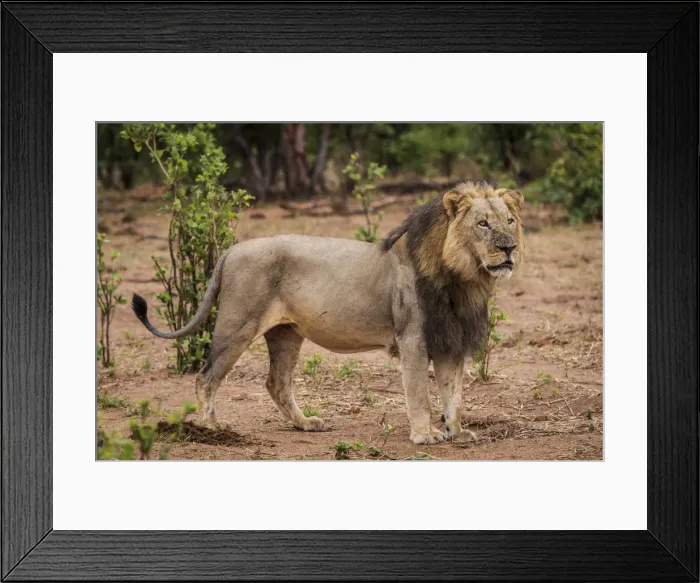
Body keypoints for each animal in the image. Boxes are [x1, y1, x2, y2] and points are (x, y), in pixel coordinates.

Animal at [131, 180, 524, 445]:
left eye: (509, 220)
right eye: (482, 224)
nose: (509, 248)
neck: (463, 277)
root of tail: (231, 250)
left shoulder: (450, 340)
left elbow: (452, 392)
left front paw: (457, 431)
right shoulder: (413, 338)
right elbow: (420, 393)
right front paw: (424, 435)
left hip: (286, 333)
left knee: (276, 382)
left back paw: (305, 423)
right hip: (236, 325)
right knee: (206, 377)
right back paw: (212, 427)